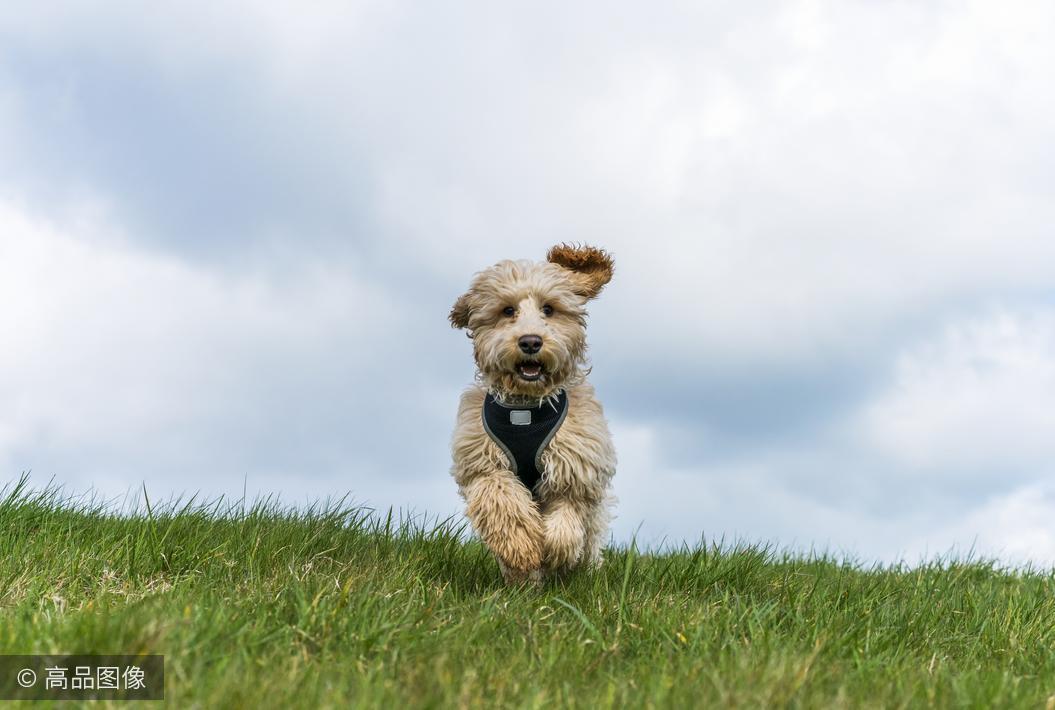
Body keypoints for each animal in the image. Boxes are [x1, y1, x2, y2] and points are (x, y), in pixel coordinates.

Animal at [447, 243, 616, 582]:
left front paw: (553, 552)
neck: (526, 407)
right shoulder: (482, 463)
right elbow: (501, 499)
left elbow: (566, 521)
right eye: (507, 310)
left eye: (549, 309)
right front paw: (522, 549)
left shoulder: (576, 467)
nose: (530, 342)